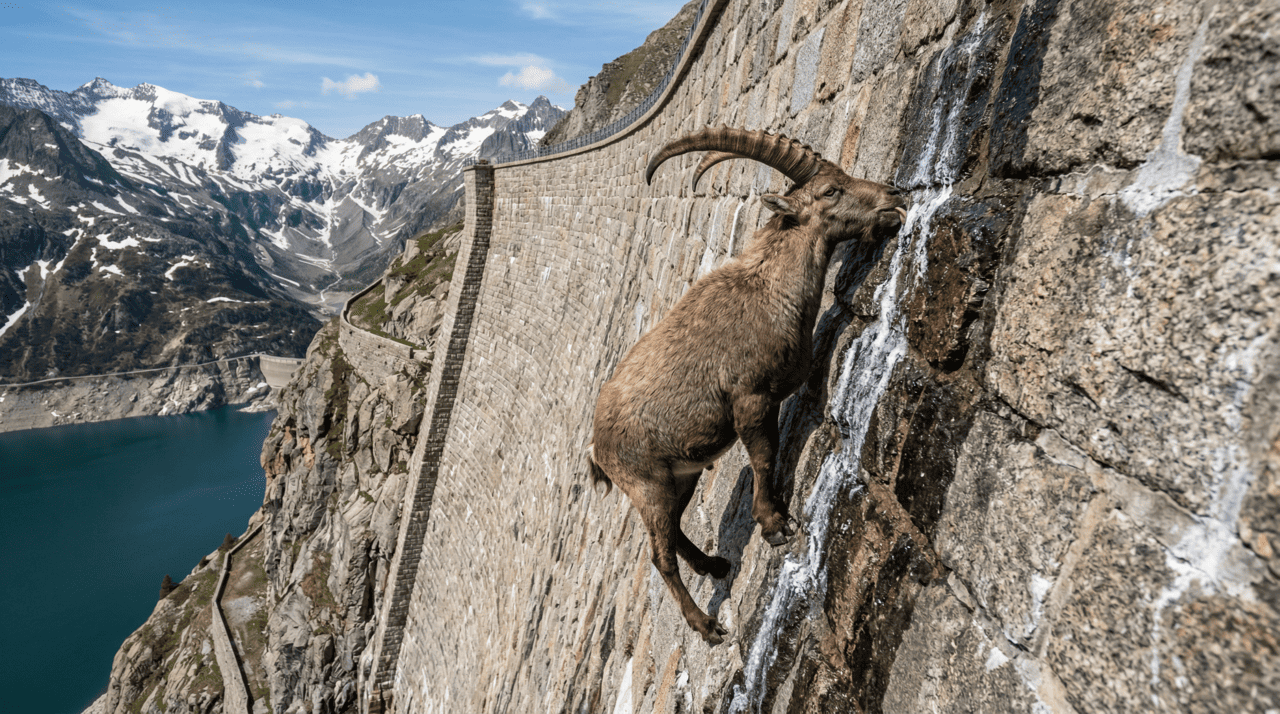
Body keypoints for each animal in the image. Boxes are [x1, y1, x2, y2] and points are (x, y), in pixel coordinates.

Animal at [588, 127, 907, 644]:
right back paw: (706, 625)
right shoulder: (749, 399)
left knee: (675, 532)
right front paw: (774, 523)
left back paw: (715, 566)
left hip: (681, 475)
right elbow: (761, 454)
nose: (894, 195)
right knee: (658, 556)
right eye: (830, 191)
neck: (769, 288)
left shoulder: (768, 401)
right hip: (646, 485)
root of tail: (597, 449)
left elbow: (770, 451)